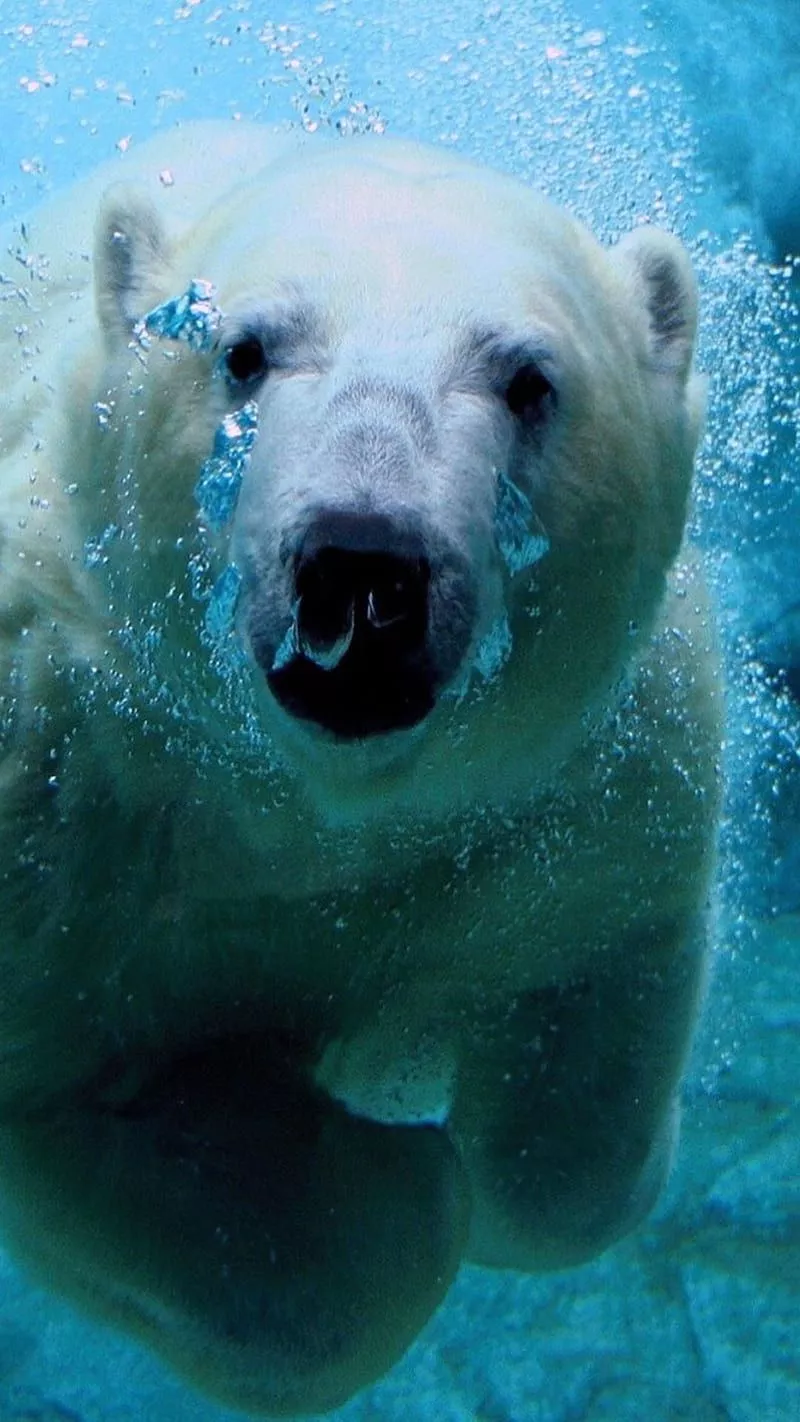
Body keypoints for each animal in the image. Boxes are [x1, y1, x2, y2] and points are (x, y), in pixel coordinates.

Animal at [0, 122, 721, 1416]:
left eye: (529, 380)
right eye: (241, 350)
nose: (362, 563)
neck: (313, 807)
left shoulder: (583, 781)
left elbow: (576, 1116)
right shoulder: (60, 799)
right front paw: (388, 1176)